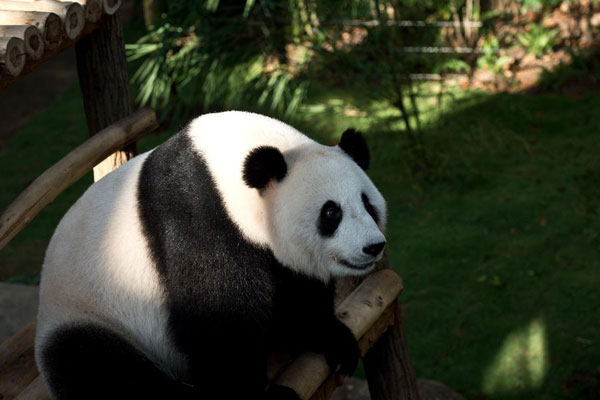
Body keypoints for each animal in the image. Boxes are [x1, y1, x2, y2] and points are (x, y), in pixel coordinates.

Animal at [35, 110, 386, 400]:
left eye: (367, 203)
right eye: (331, 212)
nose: (373, 246)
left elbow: (297, 289)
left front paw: (334, 340)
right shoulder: (198, 217)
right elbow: (218, 319)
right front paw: (259, 394)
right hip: (87, 311)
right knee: (100, 368)